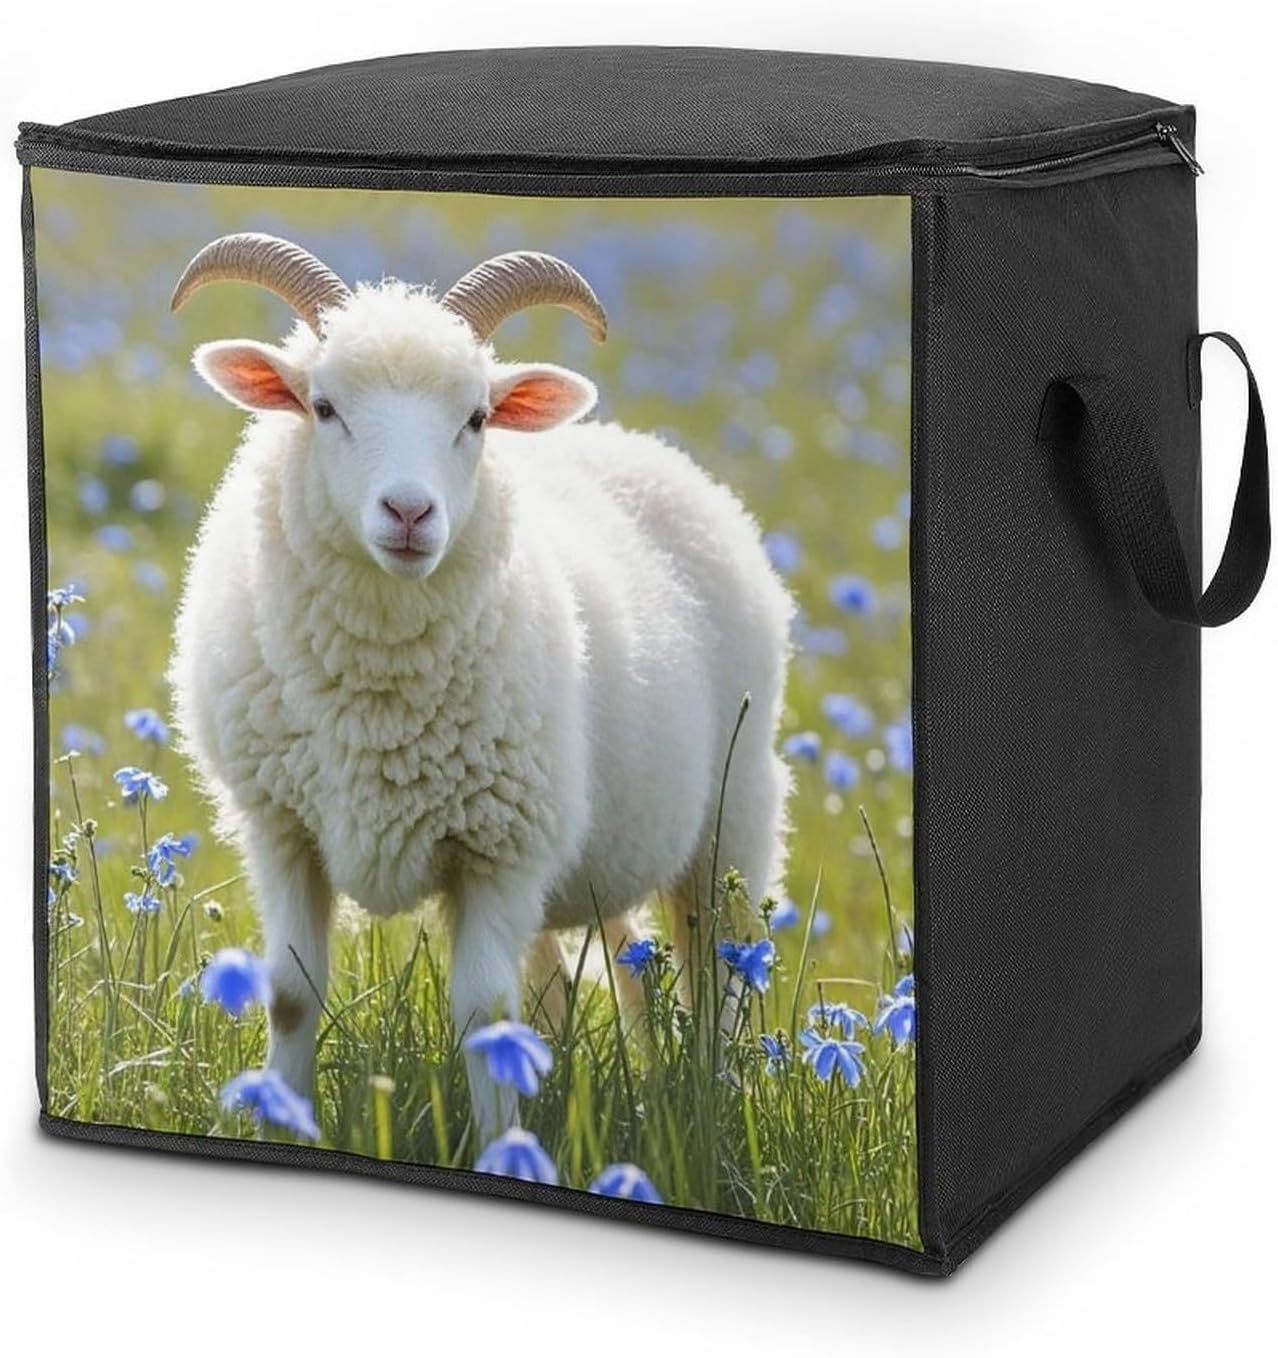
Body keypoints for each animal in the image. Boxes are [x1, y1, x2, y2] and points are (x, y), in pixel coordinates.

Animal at [168, 233, 794, 1142]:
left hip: (732, 814)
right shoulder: (283, 829)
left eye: (476, 418)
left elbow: (486, 1020)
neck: (378, 699)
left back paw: (714, 1099)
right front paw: (280, 1119)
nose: (409, 513)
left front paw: (506, 1146)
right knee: (615, 973)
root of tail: (641, 446)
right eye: (322, 407)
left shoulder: (503, 850)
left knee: (719, 974)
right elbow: (290, 997)